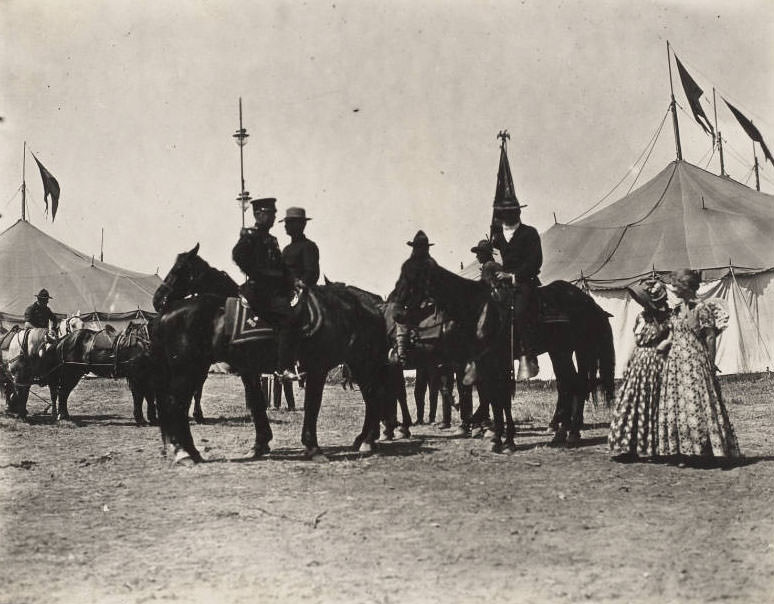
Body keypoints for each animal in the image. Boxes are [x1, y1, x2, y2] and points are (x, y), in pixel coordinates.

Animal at [152, 243, 394, 464]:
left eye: (179, 270)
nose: (157, 298)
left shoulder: (312, 369)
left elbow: (305, 405)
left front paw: (302, 446)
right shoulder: (256, 371)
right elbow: (261, 404)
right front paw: (267, 444)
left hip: (361, 363)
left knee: (373, 395)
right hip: (188, 370)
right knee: (176, 404)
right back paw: (186, 453)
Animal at [392, 251, 616, 452]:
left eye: (413, 277)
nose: (396, 314)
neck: (477, 309)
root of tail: (589, 302)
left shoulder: (490, 360)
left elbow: (497, 395)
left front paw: (501, 437)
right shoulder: (485, 361)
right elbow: (494, 396)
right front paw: (498, 437)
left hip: (571, 351)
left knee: (575, 384)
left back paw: (570, 432)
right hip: (563, 352)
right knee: (569, 384)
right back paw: (562, 431)